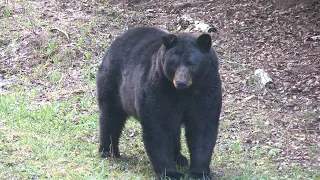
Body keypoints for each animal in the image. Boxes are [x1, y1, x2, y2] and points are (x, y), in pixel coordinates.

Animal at [97, 27, 222, 180]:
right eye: (173, 64)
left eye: (191, 64)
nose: (181, 82)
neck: (184, 93)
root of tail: (118, 40)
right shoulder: (157, 88)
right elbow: (159, 127)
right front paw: (171, 173)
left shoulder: (207, 88)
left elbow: (202, 127)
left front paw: (199, 173)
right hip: (113, 83)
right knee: (110, 116)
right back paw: (108, 151)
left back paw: (179, 158)